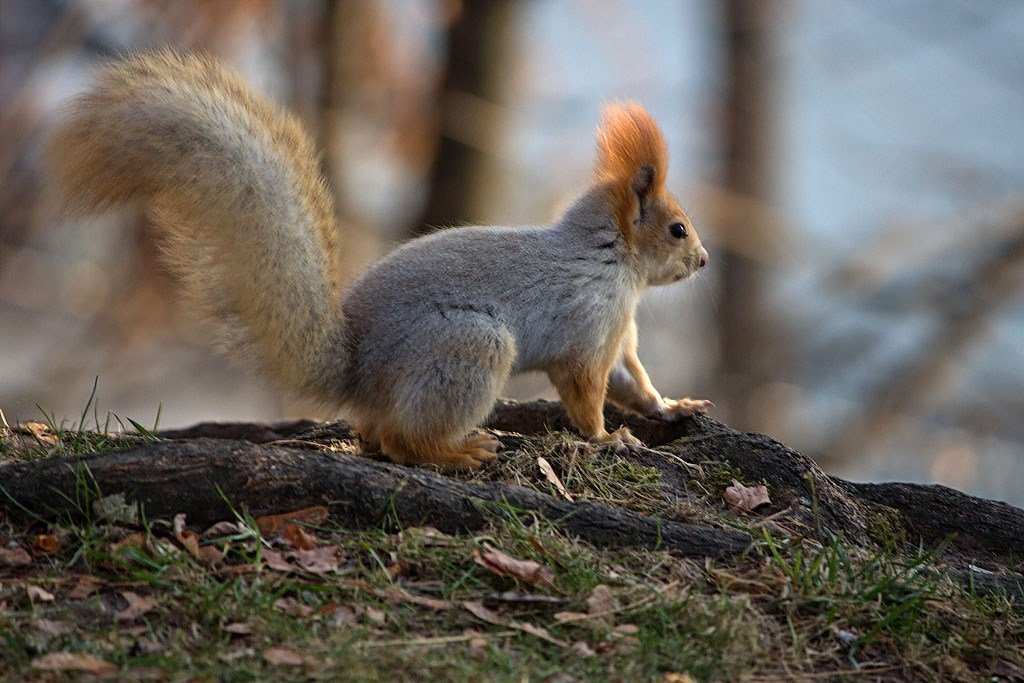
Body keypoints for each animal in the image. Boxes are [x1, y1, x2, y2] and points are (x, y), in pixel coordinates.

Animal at [46, 49, 712, 471]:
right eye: (677, 229)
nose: (704, 261)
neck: (612, 260)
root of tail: (358, 372)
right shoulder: (589, 329)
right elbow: (586, 394)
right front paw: (607, 438)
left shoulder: (618, 338)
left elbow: (634, 382)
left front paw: (674, 406)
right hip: (469, 348)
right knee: (398, 439)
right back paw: (461, 451)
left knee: (374, 436)